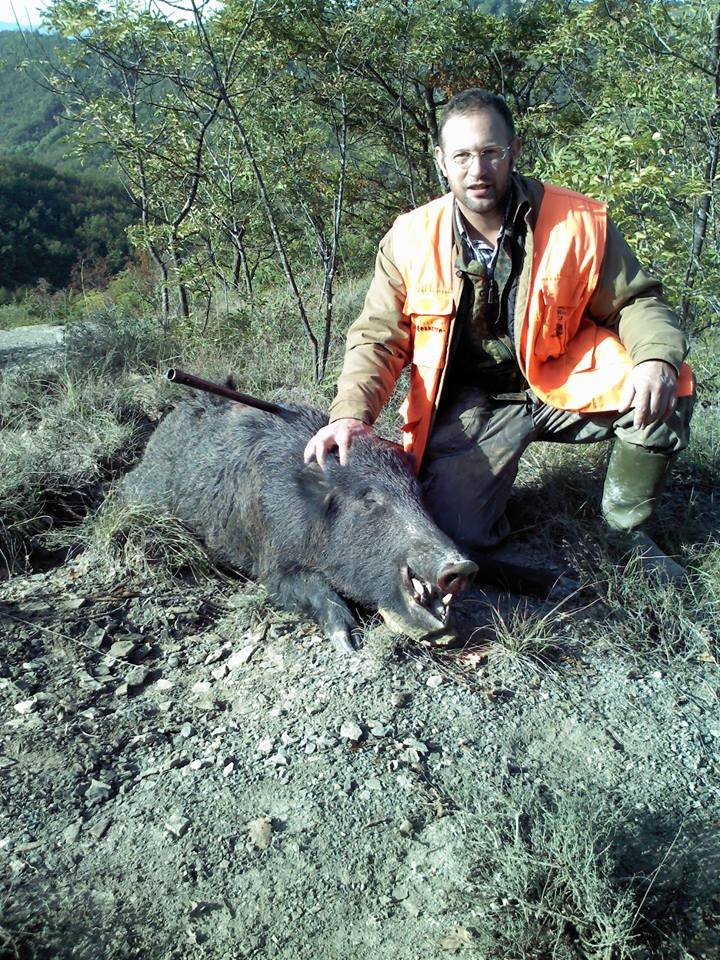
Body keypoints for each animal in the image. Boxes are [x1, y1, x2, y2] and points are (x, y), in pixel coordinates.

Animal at [122, 390, 478, 652]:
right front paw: (350, 643)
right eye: (369, 499)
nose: (463, 566)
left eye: (417, 493)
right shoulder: (271, 558)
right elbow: (301, 587)